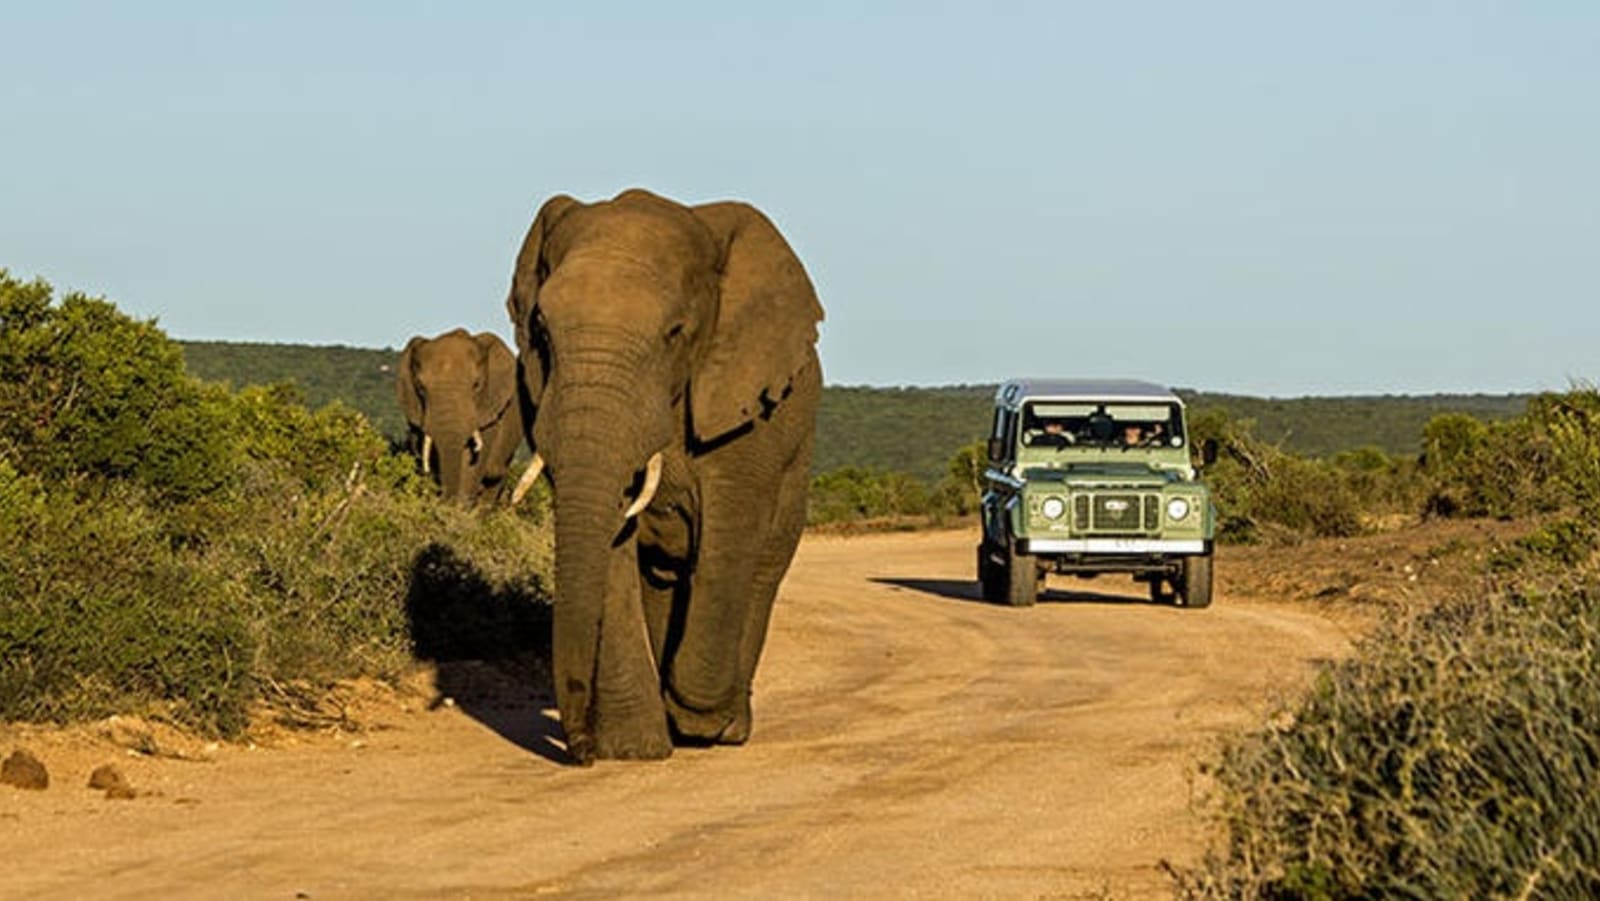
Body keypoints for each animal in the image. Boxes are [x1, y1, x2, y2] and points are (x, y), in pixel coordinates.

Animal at [505, 188, 823, 764]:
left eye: (675, 333)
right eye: (540, 330)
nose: (580, 749)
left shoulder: (745, 412)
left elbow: (730, 533)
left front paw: (697, 720)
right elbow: (613, 547)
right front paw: (634, 748)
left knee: (761, 567)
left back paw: (725, 727)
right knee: (661, 578)